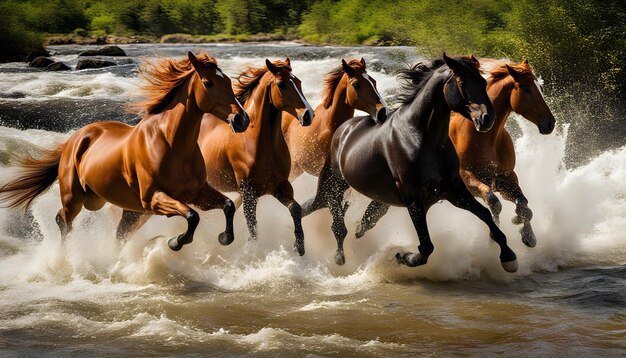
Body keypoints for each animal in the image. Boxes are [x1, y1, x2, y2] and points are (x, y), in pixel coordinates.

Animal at [0, 51, 249, 250]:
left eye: (228, 81)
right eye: (208, 83)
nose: (241, 119)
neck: (172, 146)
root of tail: (74, 139)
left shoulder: (197, 193)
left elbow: (227, 206)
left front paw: (224, 238)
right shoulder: (153, 199)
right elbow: (192, 216)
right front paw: (174, 242)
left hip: (130, 212)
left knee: (118, 235)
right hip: (74, 199)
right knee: (64, 221)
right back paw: (65, 258)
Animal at [197, 58, 312, 255]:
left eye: (299, 82)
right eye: (281, 84)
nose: (308, 114)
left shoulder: (280, 186)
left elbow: (295, 209)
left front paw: (299, 246)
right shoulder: (249, 193)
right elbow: (252, 230)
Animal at [300, 53, 516, 272]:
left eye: (483, 81)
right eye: (462, 83)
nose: (487, 119)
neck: (422, 138)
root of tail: (343, 128)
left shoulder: (454, 189)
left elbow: (485, 214)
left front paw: (509, 256)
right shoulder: (413, 198)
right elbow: (426, 247)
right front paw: (401, 256)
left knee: (339, 216)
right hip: (333, 185)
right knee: (326, 217)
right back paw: (330, 253)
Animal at [354, 59, 552, 249]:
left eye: (541, 88)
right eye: (526, 89)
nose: (550, 123)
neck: (487, 139)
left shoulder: (506, 176)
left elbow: (524, 206)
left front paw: (528, 235)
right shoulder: (467, 178)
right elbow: (493, 200)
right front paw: (494, 237)